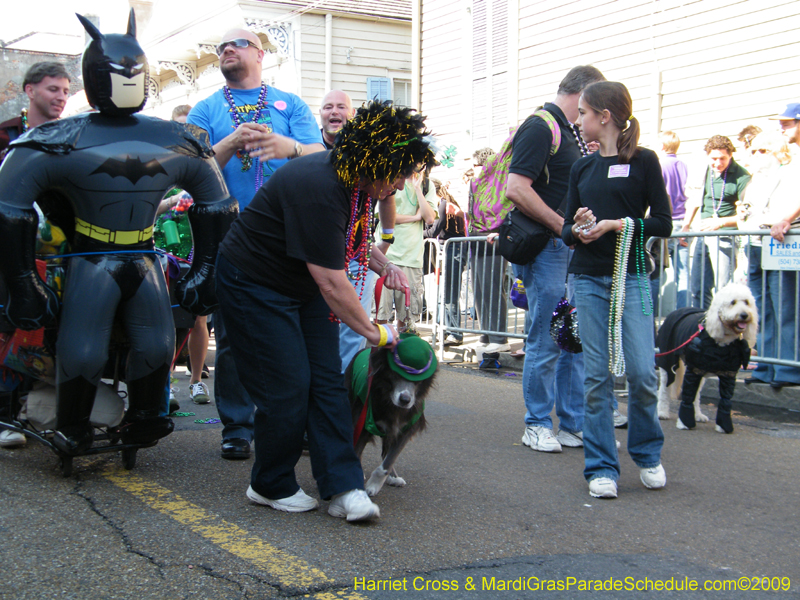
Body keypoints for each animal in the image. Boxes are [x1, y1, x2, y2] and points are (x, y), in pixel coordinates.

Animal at [342, 338, 434, 496]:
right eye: (396, 374)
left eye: (418, 380)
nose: (405, 400)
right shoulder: (363, 423)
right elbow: (357, 449)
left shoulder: (405, 429)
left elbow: (389, 460)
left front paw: (375, 483)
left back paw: (393, 477)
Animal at [652, 284, 760, 434]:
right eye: (732, 302)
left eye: (746, 302)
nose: (744, 315)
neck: (721, 341)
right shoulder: (693, 370)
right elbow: (687, 396)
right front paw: (684, 423)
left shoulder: (728, 374)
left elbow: (725, 400)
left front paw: (723, 426)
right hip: (667, 362)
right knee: (664, 389)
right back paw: (662, 412)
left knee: (696, 395)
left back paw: (698, 415)